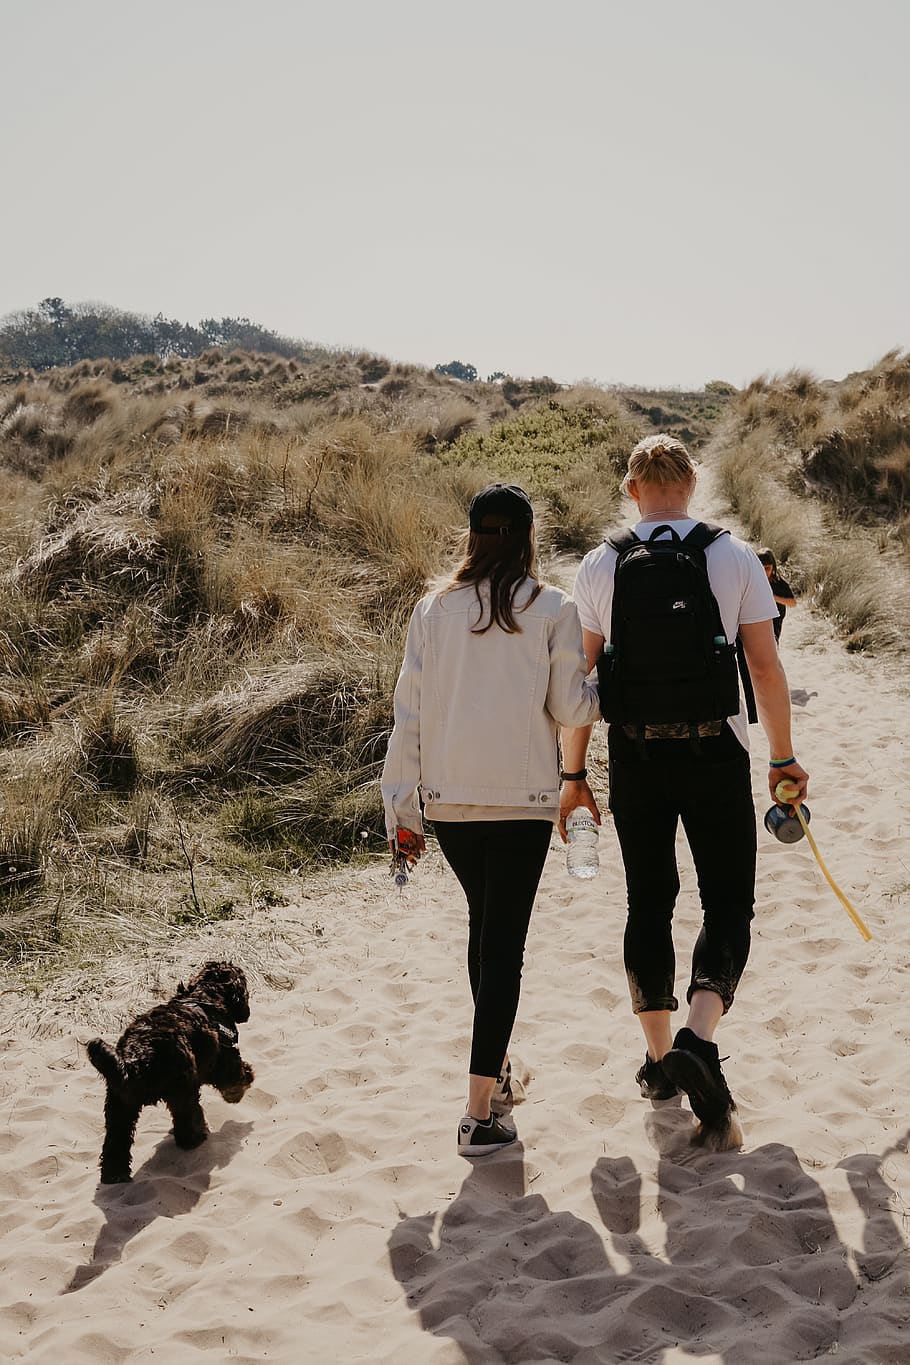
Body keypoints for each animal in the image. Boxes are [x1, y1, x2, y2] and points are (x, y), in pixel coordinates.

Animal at [86, 960, 255, 1184]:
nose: (247, 1012)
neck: (206, 994)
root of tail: (137, 1056)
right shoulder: (224, 1057)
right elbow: (235, 1077)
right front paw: (242, 1085)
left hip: (119, 1105)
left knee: (116, 1140)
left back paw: (114, 1174)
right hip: (182, 1091)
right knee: (186, 1117)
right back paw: (195, 1138)